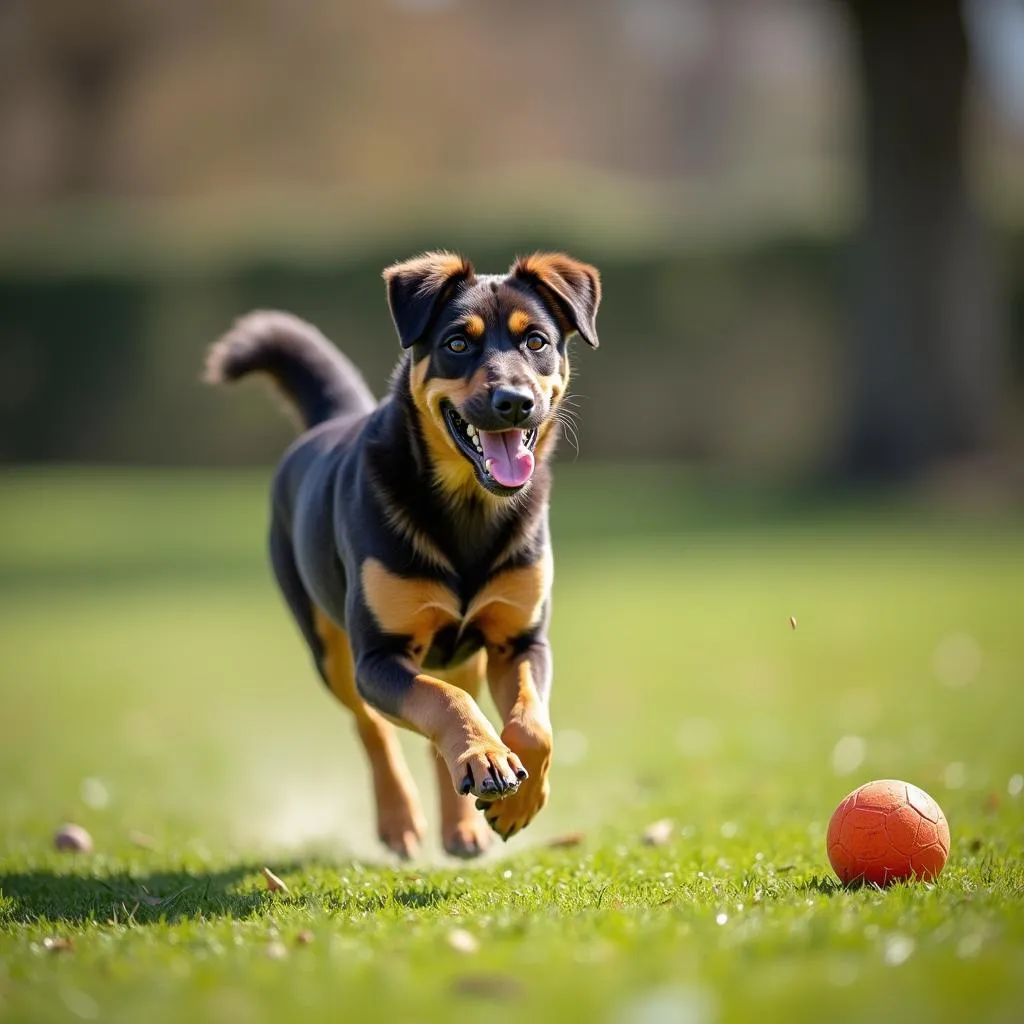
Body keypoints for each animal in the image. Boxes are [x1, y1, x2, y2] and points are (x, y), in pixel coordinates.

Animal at [202, 249, 598, 856]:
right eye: (457, 343)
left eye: (535, 341)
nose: (514, 402)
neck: (467, 508)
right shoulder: (379, 656)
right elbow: (439, 703)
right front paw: (486, 759)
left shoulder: (519, 640)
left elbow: (531, 723)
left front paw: (515, 800)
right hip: (331, 651)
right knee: (372, 726)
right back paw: (401, 818)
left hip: (464, 657)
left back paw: (463, 822)